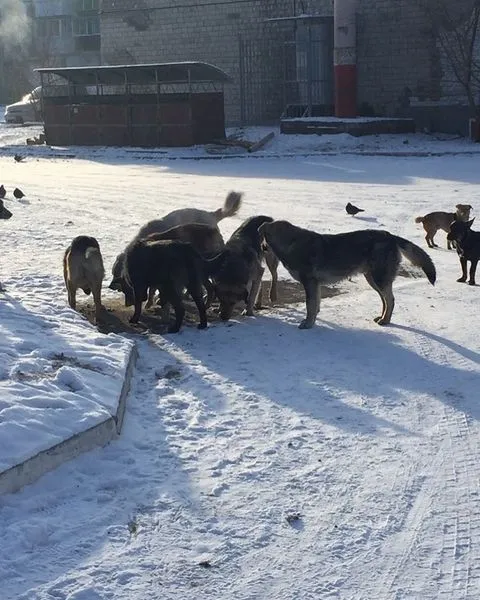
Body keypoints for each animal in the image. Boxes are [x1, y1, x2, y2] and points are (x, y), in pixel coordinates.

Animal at [260, 219, 436, 328]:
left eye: (263, 238)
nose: (262, 247)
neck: (290, 243)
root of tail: (391, 236)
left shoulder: (309, 283)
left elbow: (310, 306)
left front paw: (308, 324)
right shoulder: (315, 285)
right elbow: (316, 305)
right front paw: (313, 320)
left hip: (379, 280)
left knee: (391, 300)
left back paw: (385, 321)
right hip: (373, 280)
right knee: (385, 301)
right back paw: (382, 318)